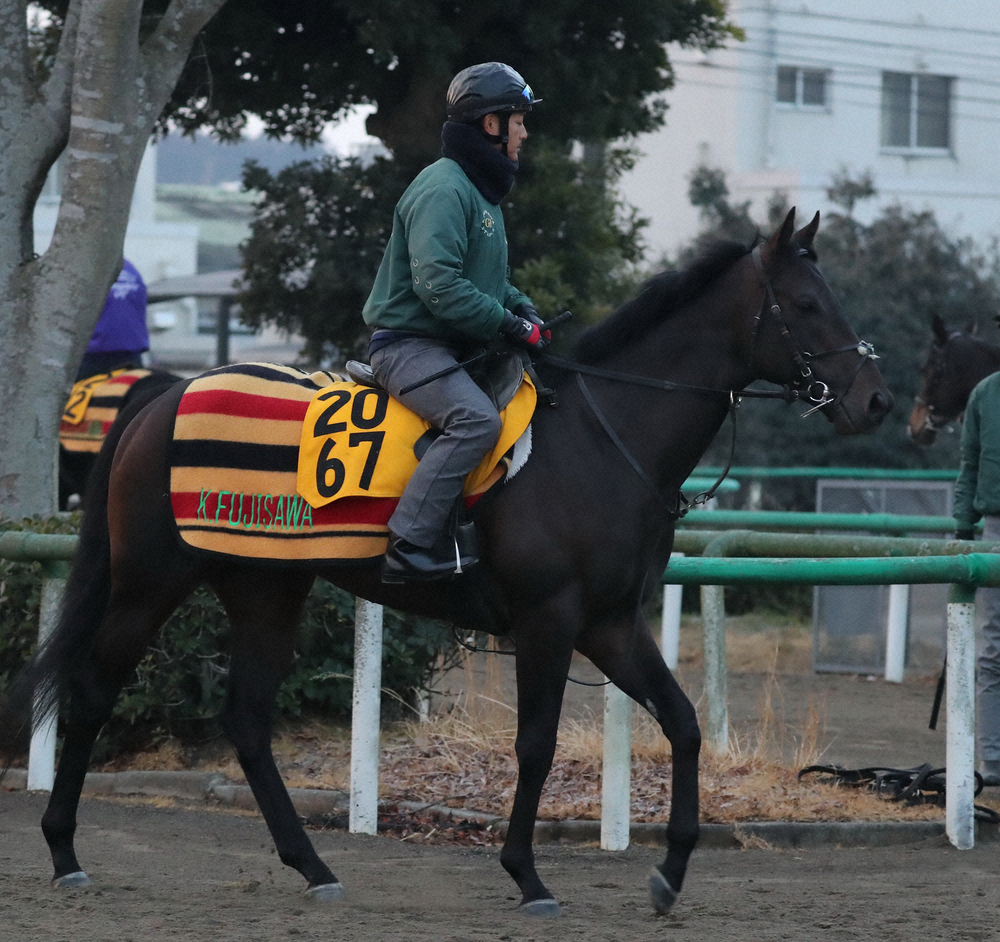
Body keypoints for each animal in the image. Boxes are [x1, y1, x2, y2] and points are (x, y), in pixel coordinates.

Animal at [0, 210, 892, 920]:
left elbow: (681, 722)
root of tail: (164, 398)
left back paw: (313, 867)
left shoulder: (610, 624)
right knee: (92, 692)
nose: (877, 401)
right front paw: (528, 877)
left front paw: (670, 871)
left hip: (266, 587)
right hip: (150, 582)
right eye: (806, 304)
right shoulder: (549, 620)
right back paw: (65, 852)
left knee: (247, 719)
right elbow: (535, 745)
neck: (602, 436)